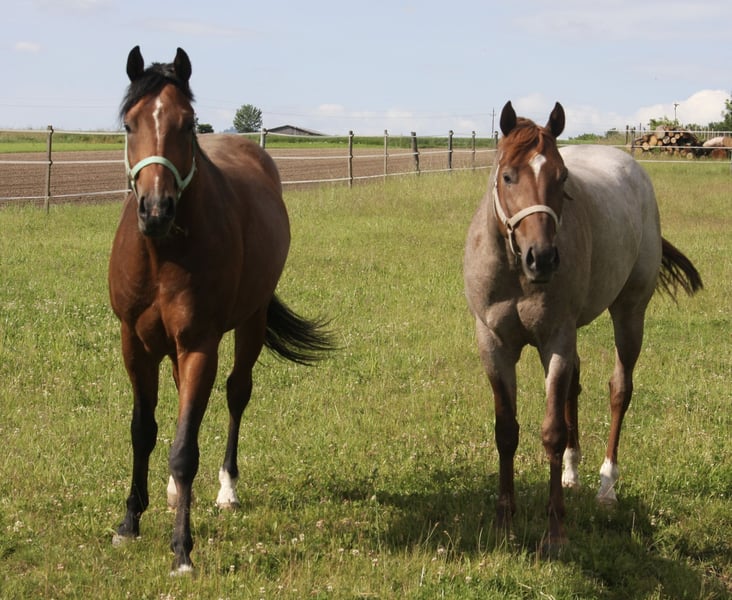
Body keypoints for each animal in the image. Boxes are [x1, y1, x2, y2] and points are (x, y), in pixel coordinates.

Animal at [108, 46, 334, 574]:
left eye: (187, 123)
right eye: (129, 124)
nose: (156, 210)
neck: (162, 254)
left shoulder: (199, 345)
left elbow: (184, 450)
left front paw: (182, 550)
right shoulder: (135, 345)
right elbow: (143, 431)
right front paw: (129, 523)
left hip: (249, 324)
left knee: (236, 394)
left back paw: (227, 489)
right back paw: (174, 493)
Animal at [463, 101, 702, 550]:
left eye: (562, 178)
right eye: (508, 176)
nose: (542, 258)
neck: (515, 272)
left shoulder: (556, 338)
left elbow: (552, 432)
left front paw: (556, 532)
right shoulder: (495, 343)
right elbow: (507, 430)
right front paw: (504, 524)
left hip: (629, 314)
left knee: (619, 390)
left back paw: (606, 486)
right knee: (574, 387)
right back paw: (573, 475)